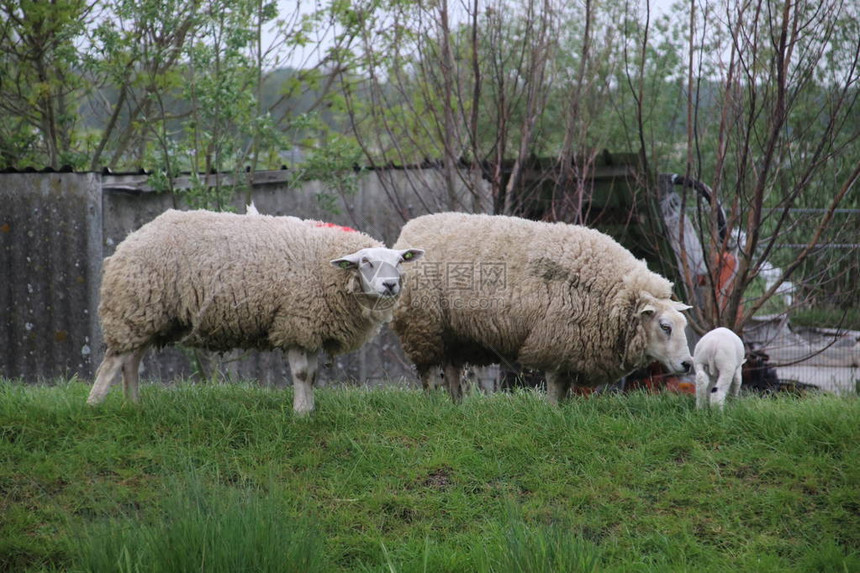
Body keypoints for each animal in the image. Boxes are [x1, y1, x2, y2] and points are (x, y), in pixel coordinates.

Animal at [86, 208, 424, 414]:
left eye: (400, 261)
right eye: (365, 261)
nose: (390, 285)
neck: (329, 269)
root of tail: (129, 240)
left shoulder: (311, 328)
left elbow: (313, 375)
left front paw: (310, 409)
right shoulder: (294, 322)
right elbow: (301, 373)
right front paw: (301, 414)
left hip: (148, 315)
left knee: (131, 361)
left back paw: (133, 405)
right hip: (132, 305)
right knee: (114, 361)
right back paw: (94, 404)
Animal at [394, 211, 696, 402]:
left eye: (682, 325)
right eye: (665, 326)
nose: (687, 364)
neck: (610, 291)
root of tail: (409, 229)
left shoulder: (572, 349)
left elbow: (564, 392)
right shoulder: (556, 342)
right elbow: (555, 390)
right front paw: (554, 414)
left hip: (454, 333)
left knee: (452, 370)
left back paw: (457, 405)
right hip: (422, 325)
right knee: (429, 373)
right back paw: (433, 404)